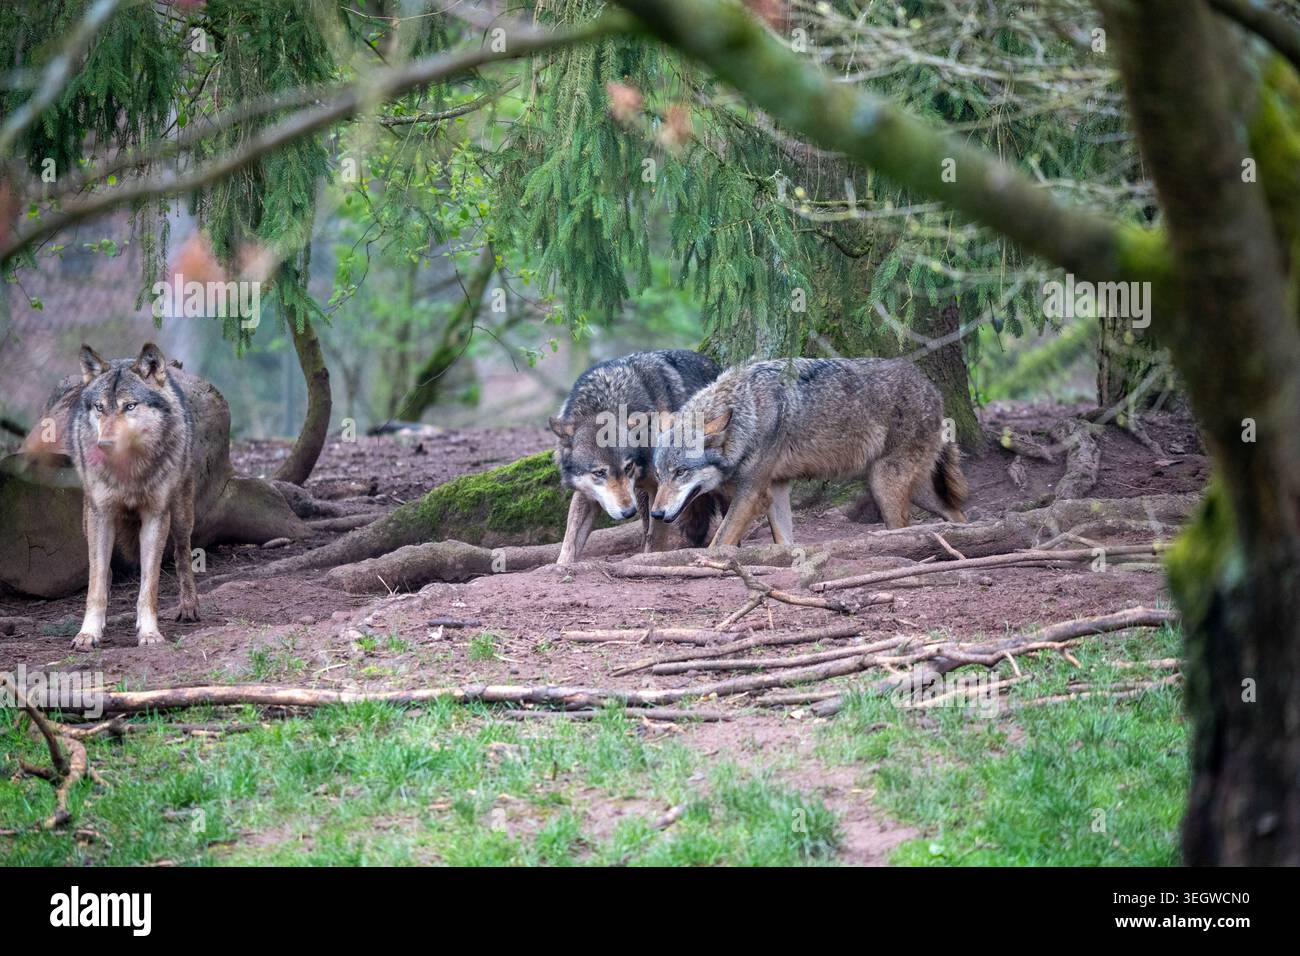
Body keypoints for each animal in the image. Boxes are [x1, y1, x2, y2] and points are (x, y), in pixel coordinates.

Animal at [67, 343, 199, 649]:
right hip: (87, 519)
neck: (129, 473)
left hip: (181, 514)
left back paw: (189, 606)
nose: (104, 444)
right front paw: (88, 633)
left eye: (130, 406)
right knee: (103, 571)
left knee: (183, 554)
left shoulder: (155, 516)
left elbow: (149, 586)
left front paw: (149, 633)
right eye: (100, 407)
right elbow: (95, 584)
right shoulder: (101, 515)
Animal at [550, 349, 722, 564]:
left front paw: (650, 560)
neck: (607, 402)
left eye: (628, 467)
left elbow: (654, 539)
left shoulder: (659, 487)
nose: (628, 512)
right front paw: (562, 565)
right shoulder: (586, 493)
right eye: (599, 473)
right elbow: (570, 538)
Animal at [650, 357, 968, 548]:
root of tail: (932, 389)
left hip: (884, 484)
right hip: (916, 490)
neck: (748, 411)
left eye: (681, 472)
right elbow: (784, 540)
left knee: (904, 526)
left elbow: (719, 542)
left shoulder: (752, 494)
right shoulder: (776, 489)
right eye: (660, 474)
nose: (655, 513)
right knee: (956, 513)